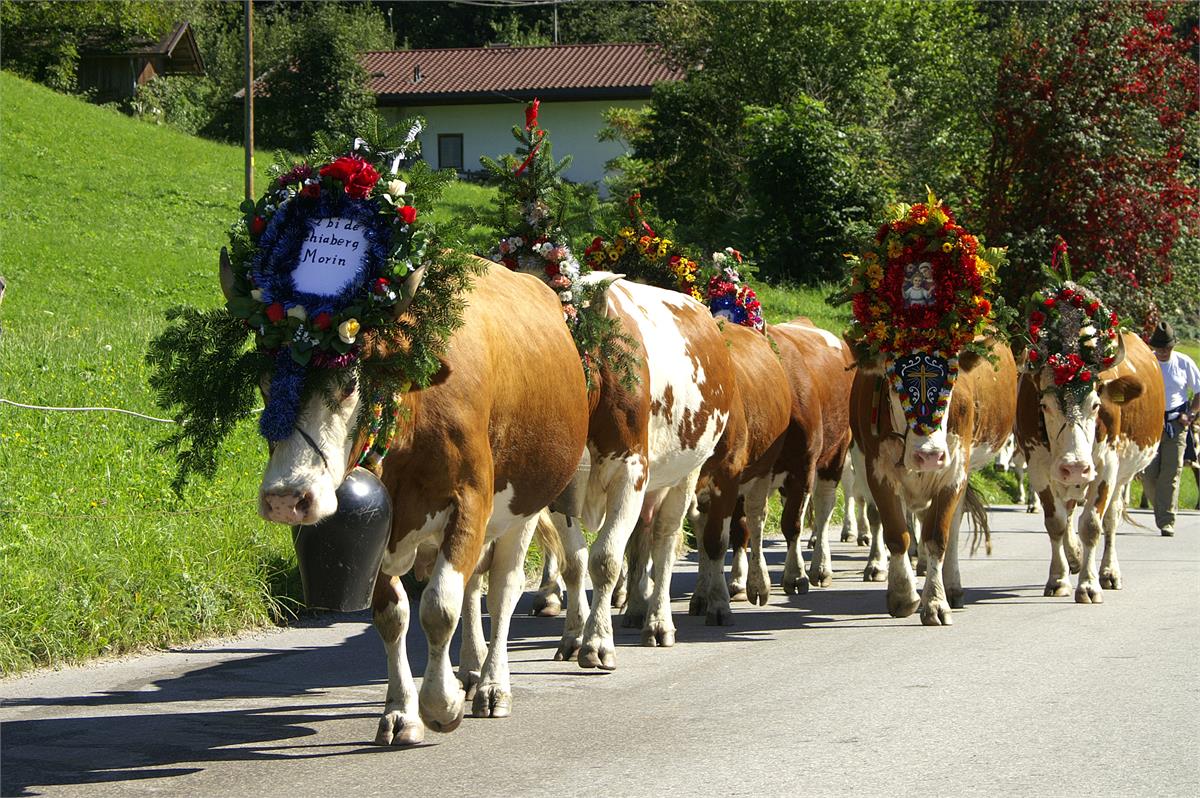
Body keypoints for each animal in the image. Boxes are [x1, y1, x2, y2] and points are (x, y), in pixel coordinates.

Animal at [241, 256, 592, 748]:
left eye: (349, 385)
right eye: (267, 383)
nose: (285, 498)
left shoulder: (471, 502)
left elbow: (439, 607)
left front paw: (440, 704)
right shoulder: (382, 533)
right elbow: (393, 616)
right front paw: (402, 712)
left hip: (524, 504)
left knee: (503, 589)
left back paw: (492, 685)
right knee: (474, 586)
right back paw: (469, 669)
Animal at [849, 338, 1017, 624]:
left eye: (951, 384)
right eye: (893, 385)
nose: (929, 455)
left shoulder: (954, 471)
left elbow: (938, 536)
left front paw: (936, 602)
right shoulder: (876, 470)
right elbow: (897, 534)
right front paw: (903, 595)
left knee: (952, 523)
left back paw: (952, 587)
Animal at [1017, 333, 1166, 600]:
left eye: (1096, 405)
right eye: (1044, 405)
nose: (1076, 467)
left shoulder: (1106, 466)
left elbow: (1092, 525)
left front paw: (1088, 584)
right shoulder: (1038, 468)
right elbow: (1055, 523)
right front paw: (1058, 578)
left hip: (1122, 476)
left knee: (1112, 518)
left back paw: (1108, 572)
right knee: (1068, 511)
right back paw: (1074, 558)